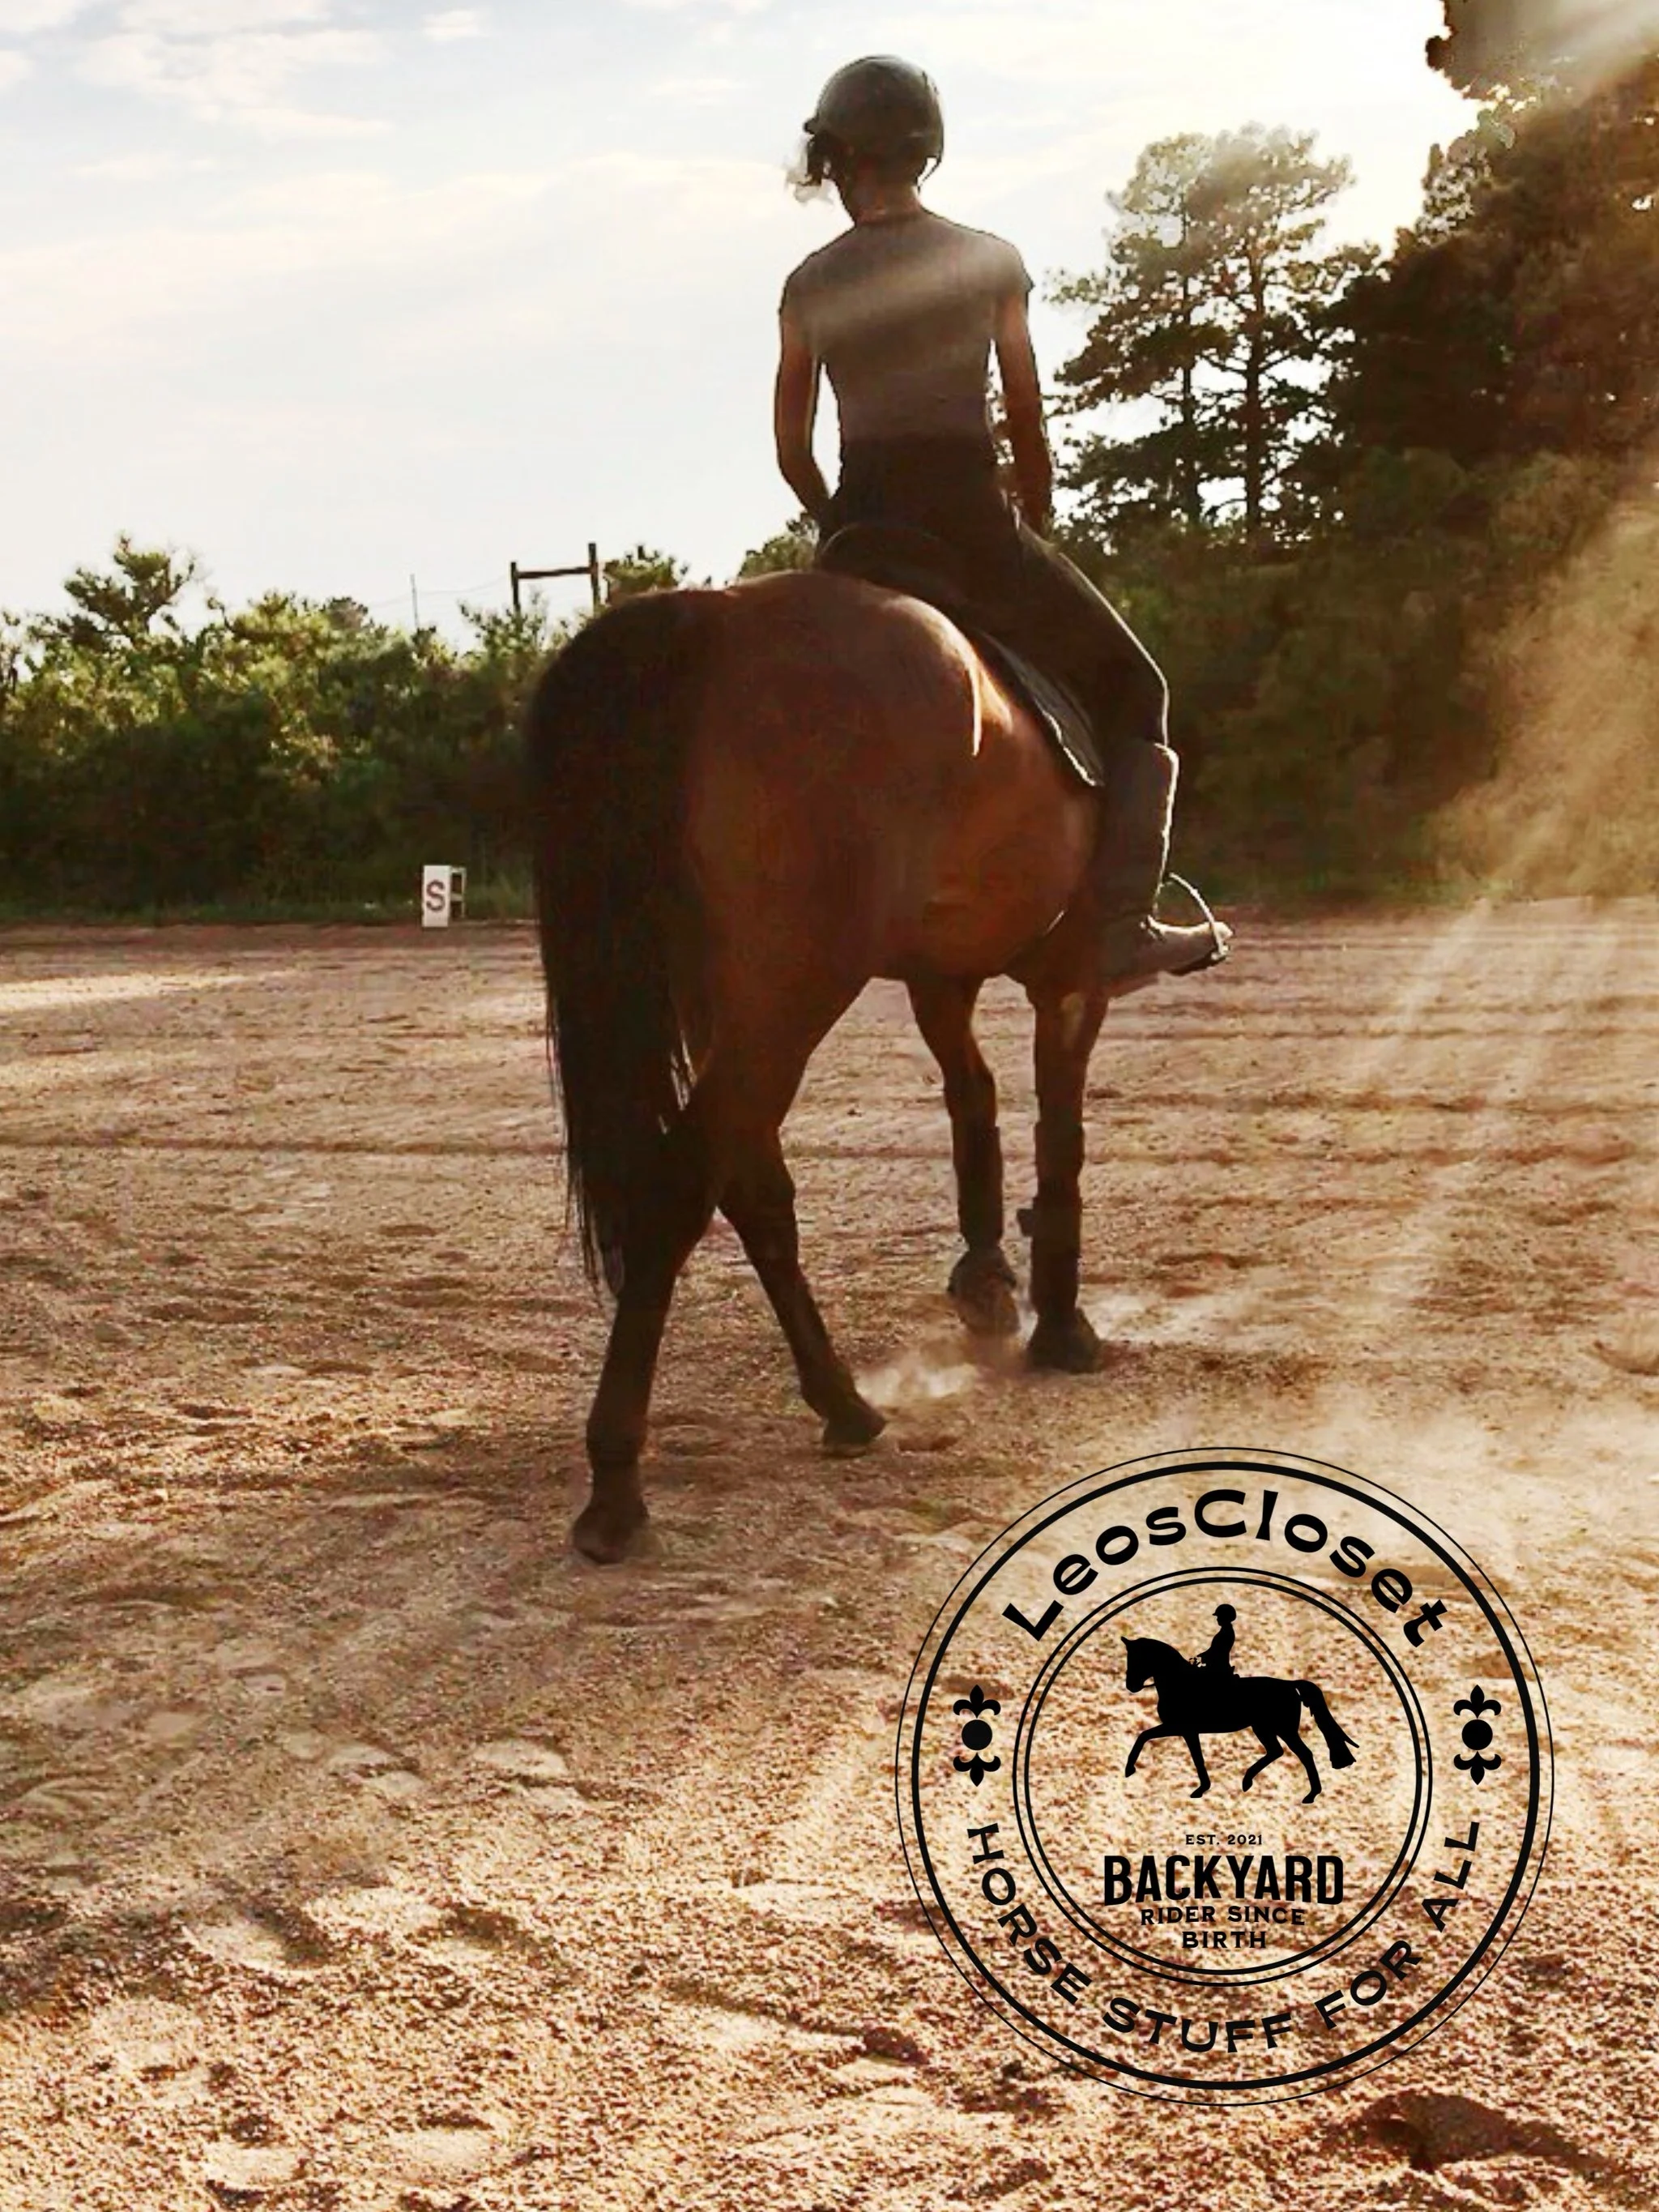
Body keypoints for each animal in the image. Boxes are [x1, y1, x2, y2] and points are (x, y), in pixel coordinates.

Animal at [526, 569, 1174, 1562]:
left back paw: (842, 1404)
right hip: (797, 986)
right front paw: (1061, 1325)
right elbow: (1058, 1134)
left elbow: (973, 1101)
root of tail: (714, 618)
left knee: (749, 1184)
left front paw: (989, 1286)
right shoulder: (1070, 983)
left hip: (739, 1001)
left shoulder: (940, 977)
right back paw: (616, 1488)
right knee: (682, 1189)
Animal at [1121, 1636, 1358, 1804]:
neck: (1179, 1683)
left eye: (1139, 1659)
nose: (1131, 1686)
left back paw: (1310, 1795)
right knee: (1276, 1751)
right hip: (1264, 1728)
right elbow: (1159, 1742)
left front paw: (1129, 1769)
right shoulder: (1185, 1730)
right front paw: (1202, 1788)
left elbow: (1147, 1737)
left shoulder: (1181, 1728)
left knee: (1304, 1754)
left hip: (1283, 1729)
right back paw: (1248, 1781)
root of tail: (1289, 1684)